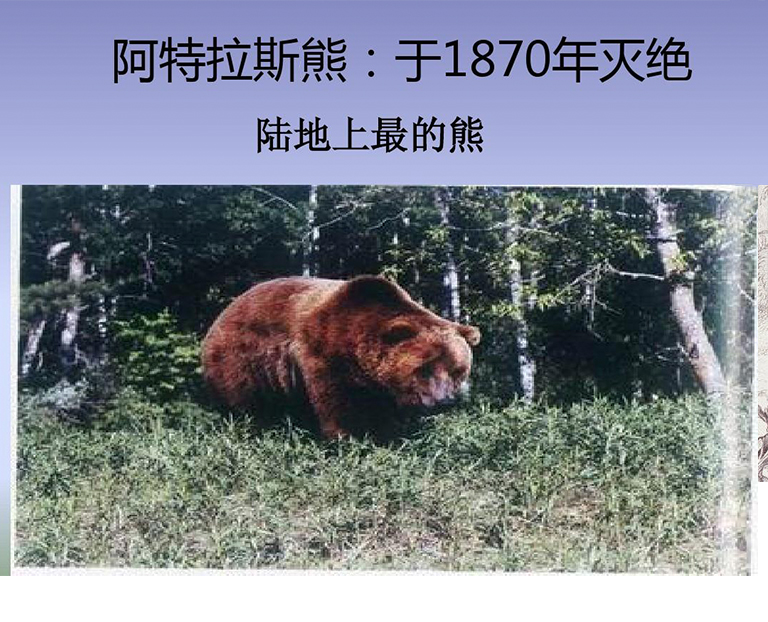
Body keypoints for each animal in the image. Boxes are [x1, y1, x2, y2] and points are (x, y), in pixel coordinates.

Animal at [201, 275, 481, 440]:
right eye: (424, 368)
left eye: (457, 370)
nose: (445, 401)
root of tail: (225, 310)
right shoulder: (323, 354)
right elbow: (338, 404)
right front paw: (350, 438)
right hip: (241, 359)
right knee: (243, 400)